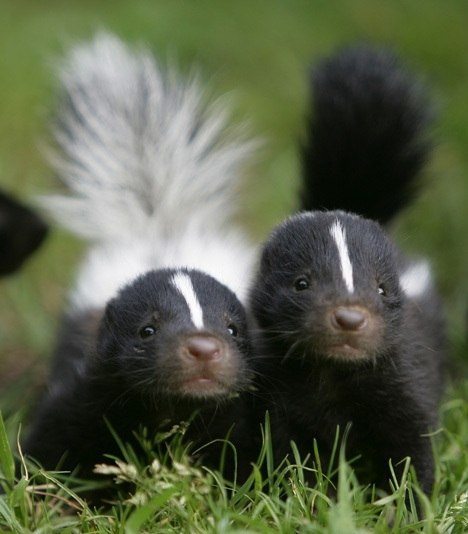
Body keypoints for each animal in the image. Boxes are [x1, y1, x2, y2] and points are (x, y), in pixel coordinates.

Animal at [21, 32, 256, 486]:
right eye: (147, 330)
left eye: (233, 329)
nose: (203, 348)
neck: (172, 407)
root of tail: (159, 226)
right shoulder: (91, 390)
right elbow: (52, 443)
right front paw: (43, 489)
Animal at [250, 46, 448, 498]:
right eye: (301, 283)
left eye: (381, 289)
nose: (349, 318)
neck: (334, 375)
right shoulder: (281, 390)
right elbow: (289, 451)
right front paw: (304, 496)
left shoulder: (404, 375)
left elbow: (414, 447)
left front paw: (410, 504)